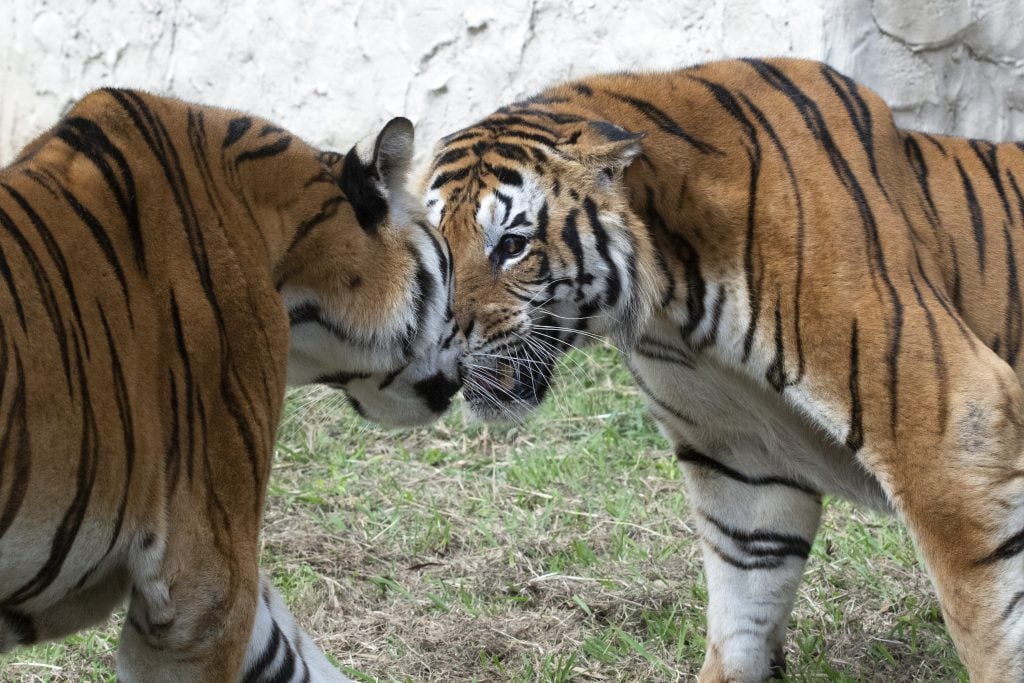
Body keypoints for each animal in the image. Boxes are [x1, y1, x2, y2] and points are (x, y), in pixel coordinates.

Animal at [421, 57, 1024, 679]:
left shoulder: (949, 433)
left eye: (512, 245)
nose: (440, 341)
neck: (673, 296)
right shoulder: (743, 461)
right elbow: (743, 605)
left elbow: (987, 626)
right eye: (437, 244)